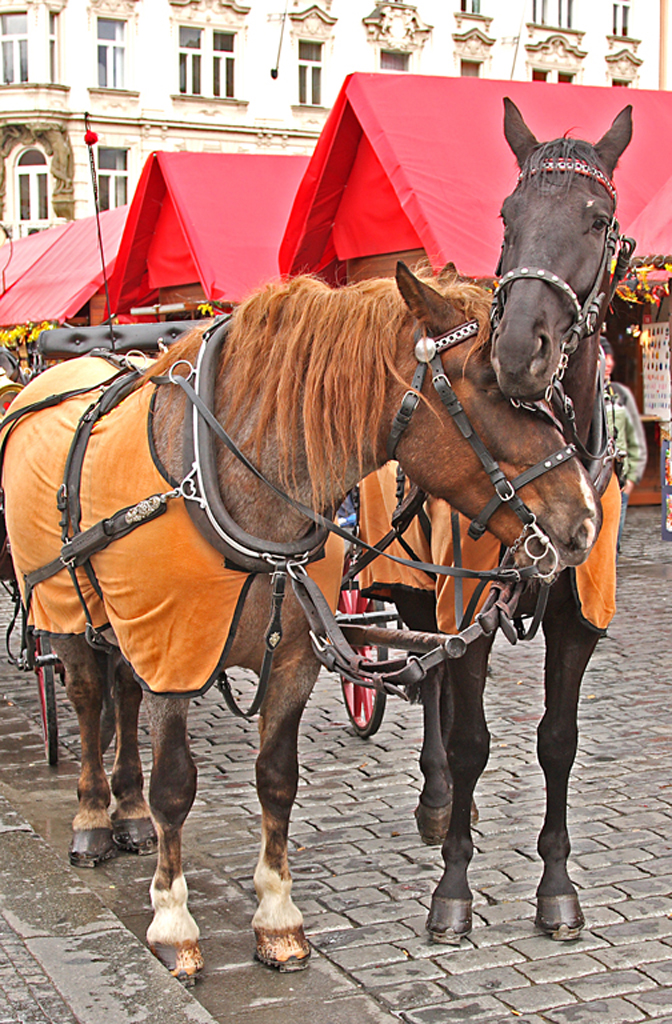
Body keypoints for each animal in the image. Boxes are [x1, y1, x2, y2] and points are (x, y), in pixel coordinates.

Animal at [0, 268, 598, 978]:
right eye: (491, 383)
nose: (585, 517)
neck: (234, 483)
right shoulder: (174, 652)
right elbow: (175, 784)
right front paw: (173, 921)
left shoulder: (291, 661)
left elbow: (277, 779)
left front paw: (277, 918)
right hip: (63, 608)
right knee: (91, 700)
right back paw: (94, 817)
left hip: (121, 619)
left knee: (121, 691)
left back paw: (129, 812)